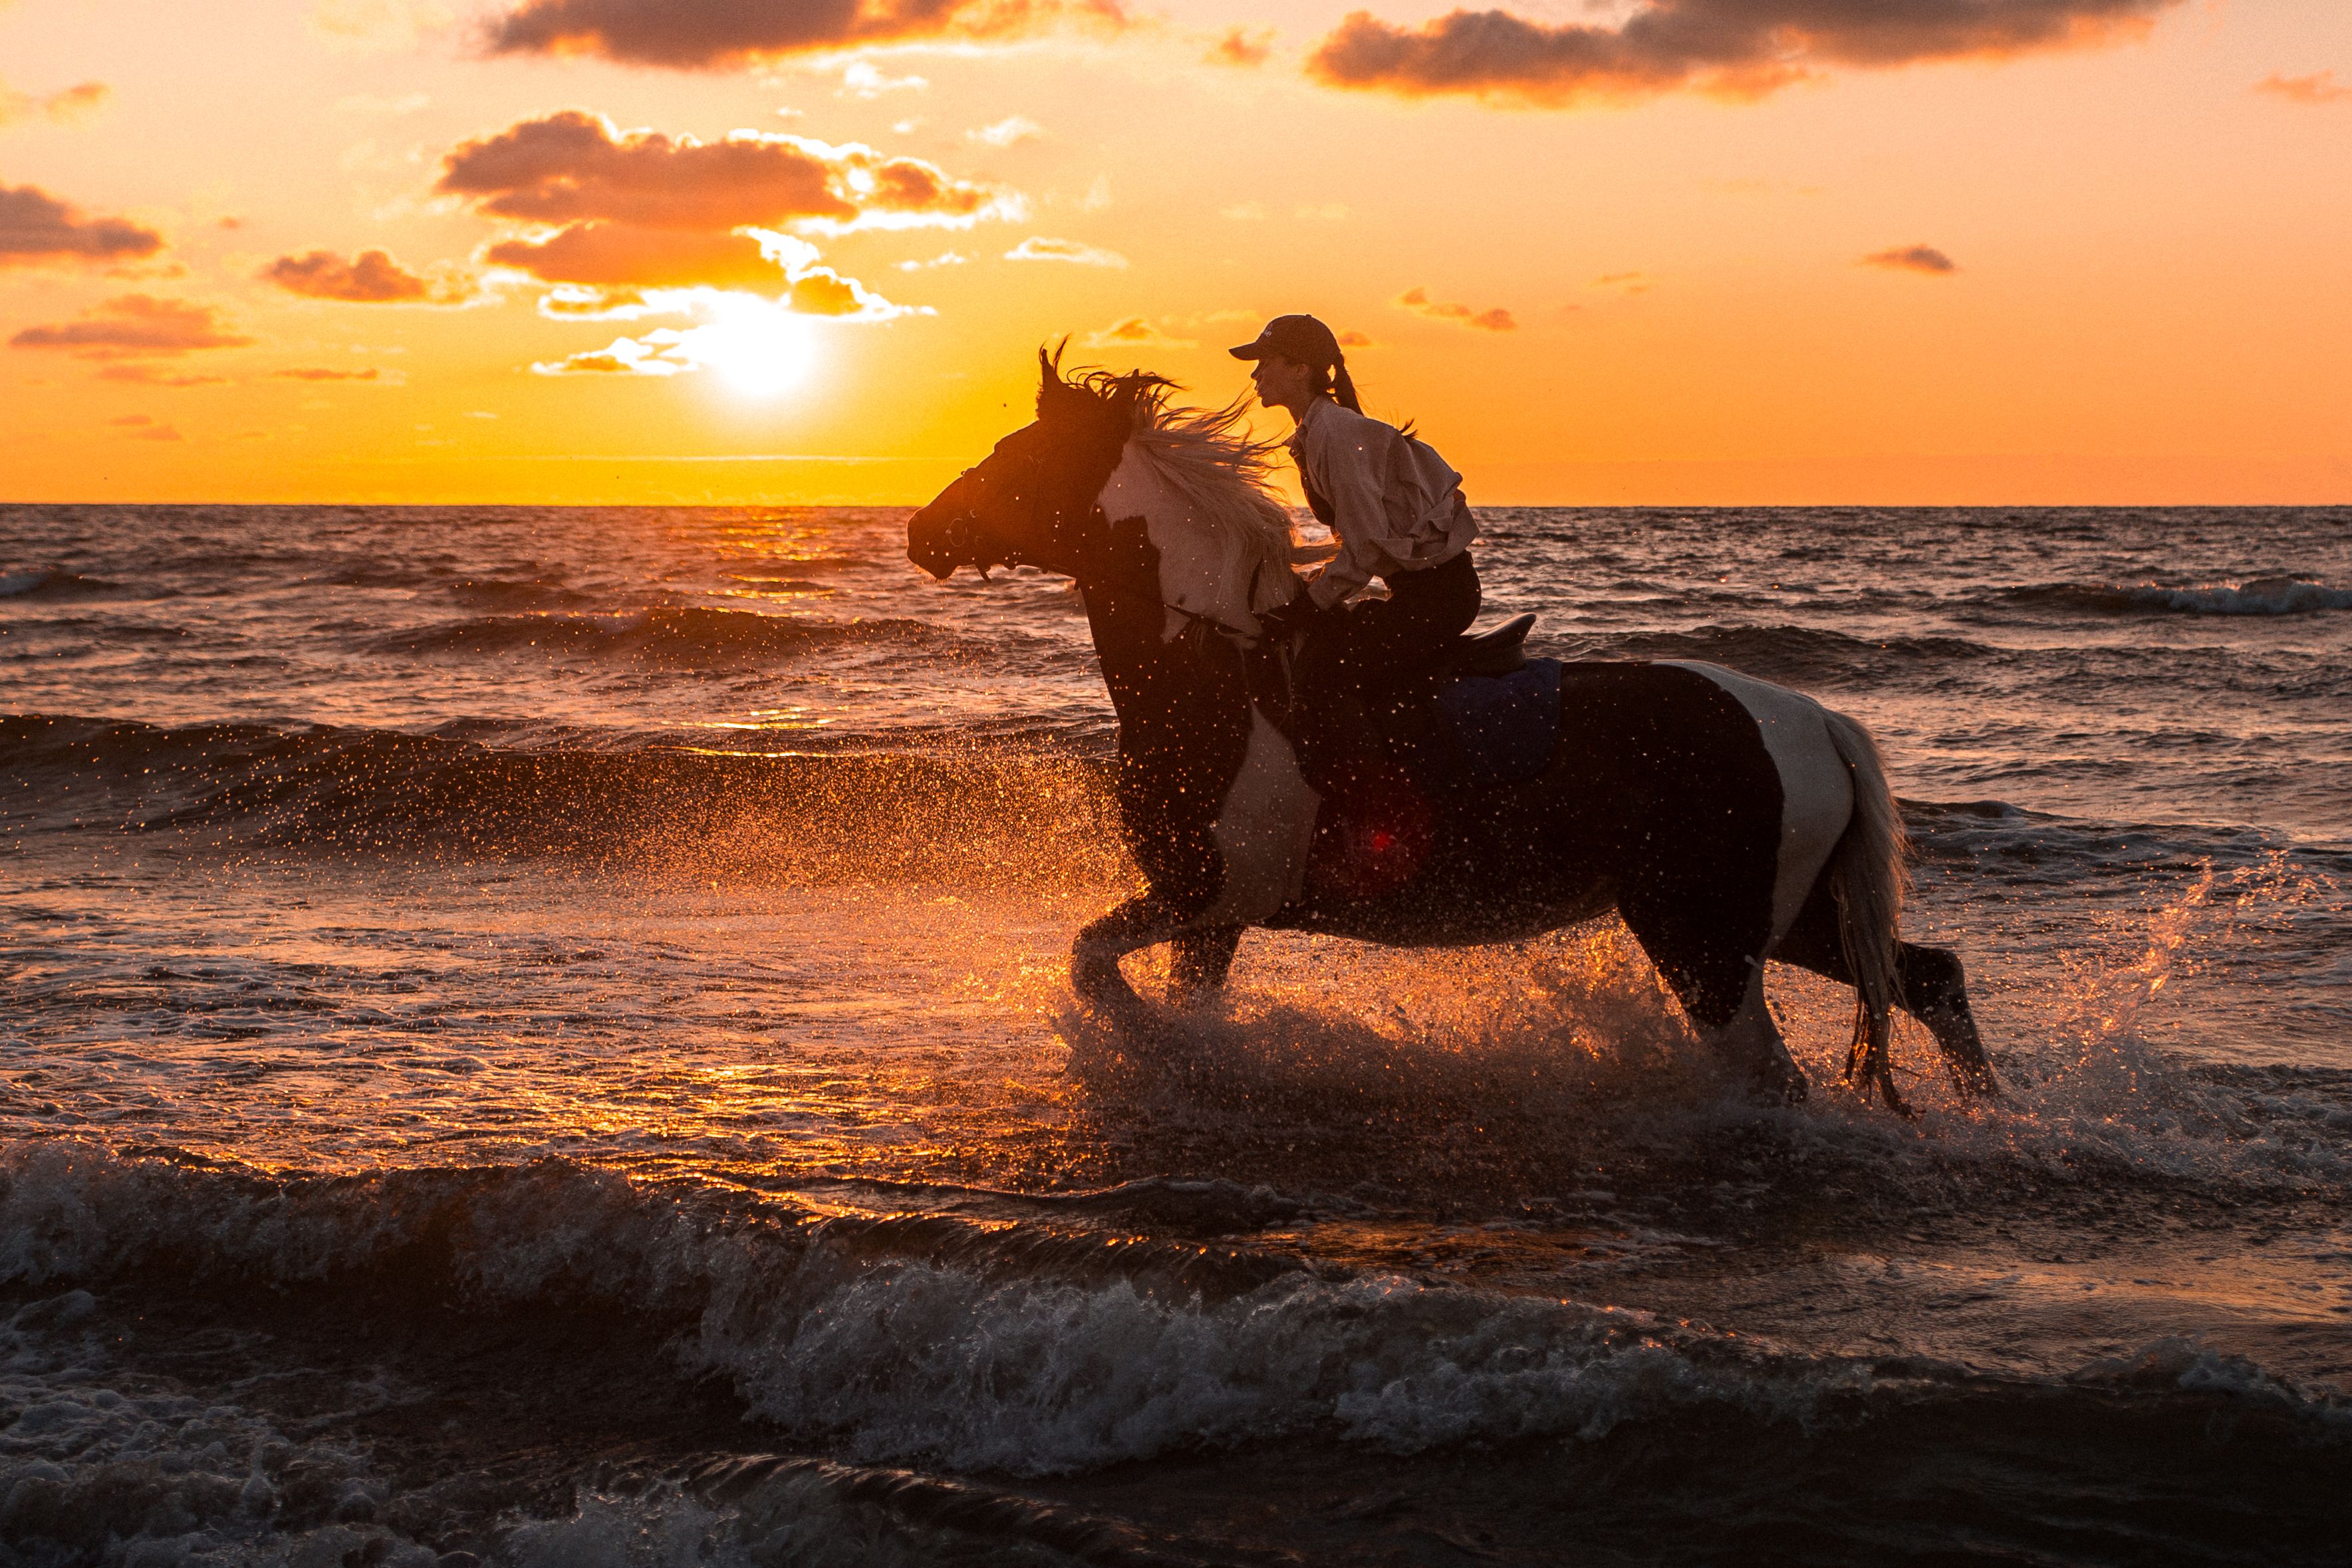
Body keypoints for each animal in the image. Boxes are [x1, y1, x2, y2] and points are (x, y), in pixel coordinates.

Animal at [907, 351, 1999, 1111]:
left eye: (1016, 459)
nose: (923, 533)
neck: (1211, 674)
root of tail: (1814, 722)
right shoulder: (1210, 917)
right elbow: (1144, 988)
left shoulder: (1208, 891)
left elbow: (1090, 965)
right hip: (1785, 914)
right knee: (1931, 978)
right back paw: (1993, 1120)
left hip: (1704, 934)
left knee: (1778, 1070)